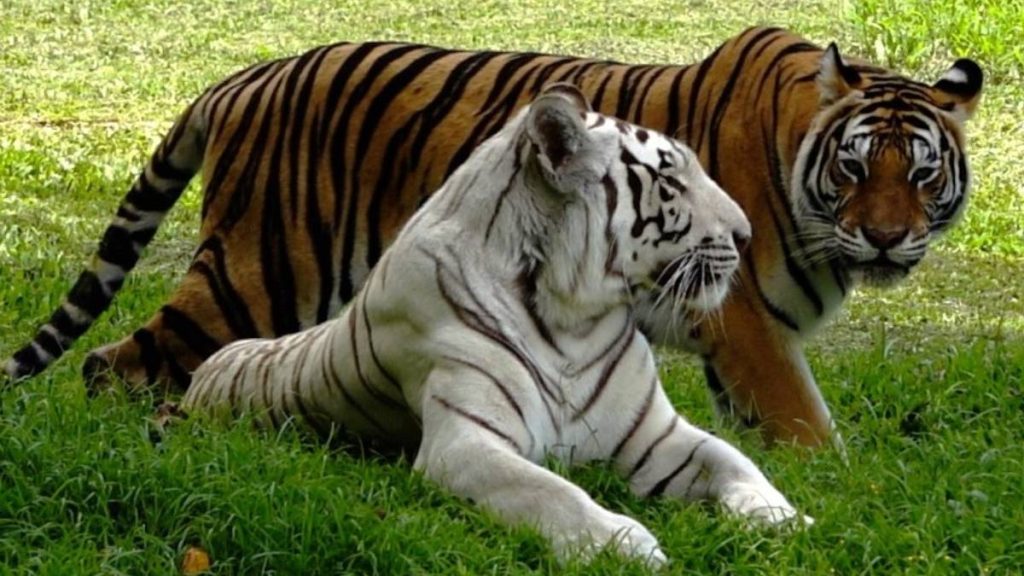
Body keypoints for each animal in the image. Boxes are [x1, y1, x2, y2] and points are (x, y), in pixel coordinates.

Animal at [3, 26, 983, 448]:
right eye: (854, 169)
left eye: (920, 174)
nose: (887, 240)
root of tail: (249, 76)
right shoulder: (742, 317)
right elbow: (806, 422)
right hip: (260, 269)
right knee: (114, 364)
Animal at [181, 85, 806, 566]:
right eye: (671, 183)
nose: (747, 234)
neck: (574, 320)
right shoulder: (464, 442)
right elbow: (549, 490)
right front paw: (622, 544)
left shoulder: (653, 434)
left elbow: (735, 460)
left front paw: (784, 518)